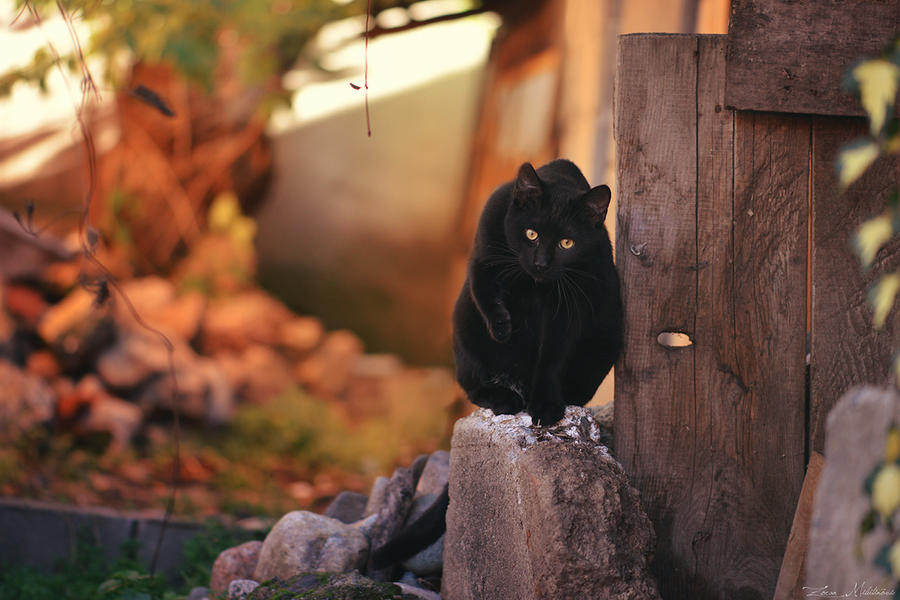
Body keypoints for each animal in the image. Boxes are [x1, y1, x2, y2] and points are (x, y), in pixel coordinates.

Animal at [454, 157, 624, 424]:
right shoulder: (483, 259)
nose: (541, 264)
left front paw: (546, 406)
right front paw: (502, 328)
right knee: (473, 385)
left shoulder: (567, 308)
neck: (532, 284)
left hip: (608, 333)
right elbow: (485, 294)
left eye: (566, 243)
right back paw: (503, 398)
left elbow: (551, 361)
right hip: (465, 325)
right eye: (531, 234)